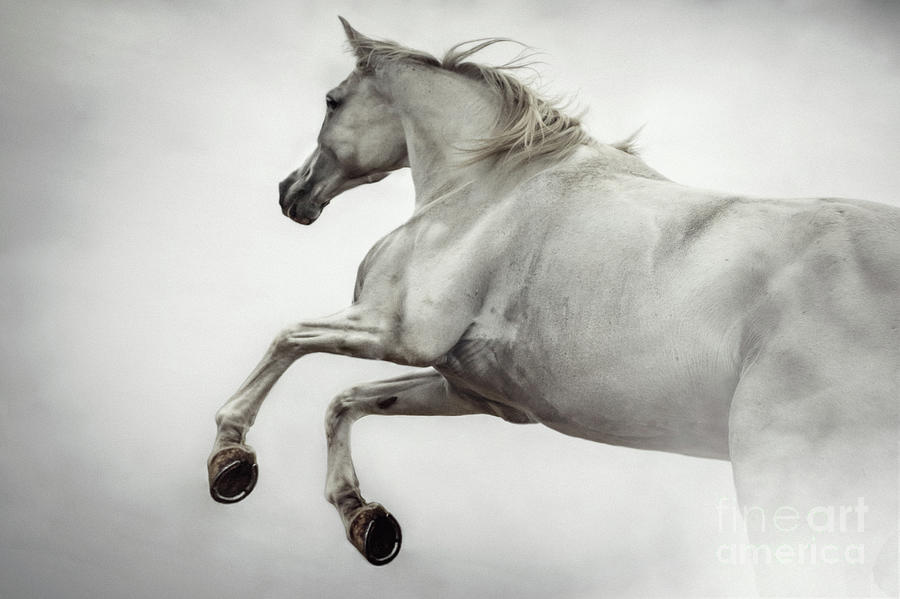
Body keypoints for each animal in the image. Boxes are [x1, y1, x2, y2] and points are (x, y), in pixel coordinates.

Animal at [208, 18, 899, 596]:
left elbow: (288, 339)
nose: (291, 192)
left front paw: (230, 457)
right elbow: (346, 401)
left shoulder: (397, 331)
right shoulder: (477, 391)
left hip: (786, 483)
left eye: (332, 101)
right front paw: (365, 520)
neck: (486, 189)